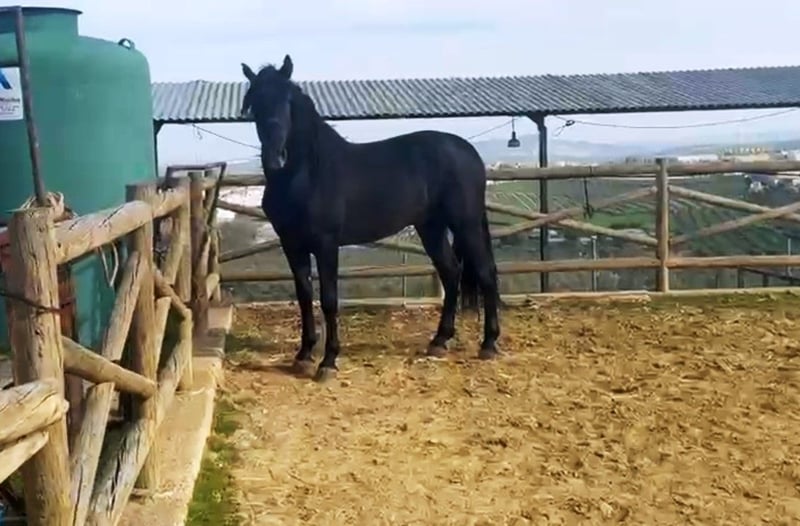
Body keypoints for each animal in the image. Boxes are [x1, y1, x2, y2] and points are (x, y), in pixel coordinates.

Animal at [240, 54, 501, 382]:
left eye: (288, 101)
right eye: (255, 104)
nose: (275, 159)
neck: (308, 173)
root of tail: (468, 151)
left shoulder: (326, 244)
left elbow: (329, 299)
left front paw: (328, 362)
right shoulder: (291, 244)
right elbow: (304, 296)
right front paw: (303, 356)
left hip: (465, 223)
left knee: (485, 273)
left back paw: (489, 344)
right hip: (431, 227)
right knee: (452, 272)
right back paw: (439, 341)